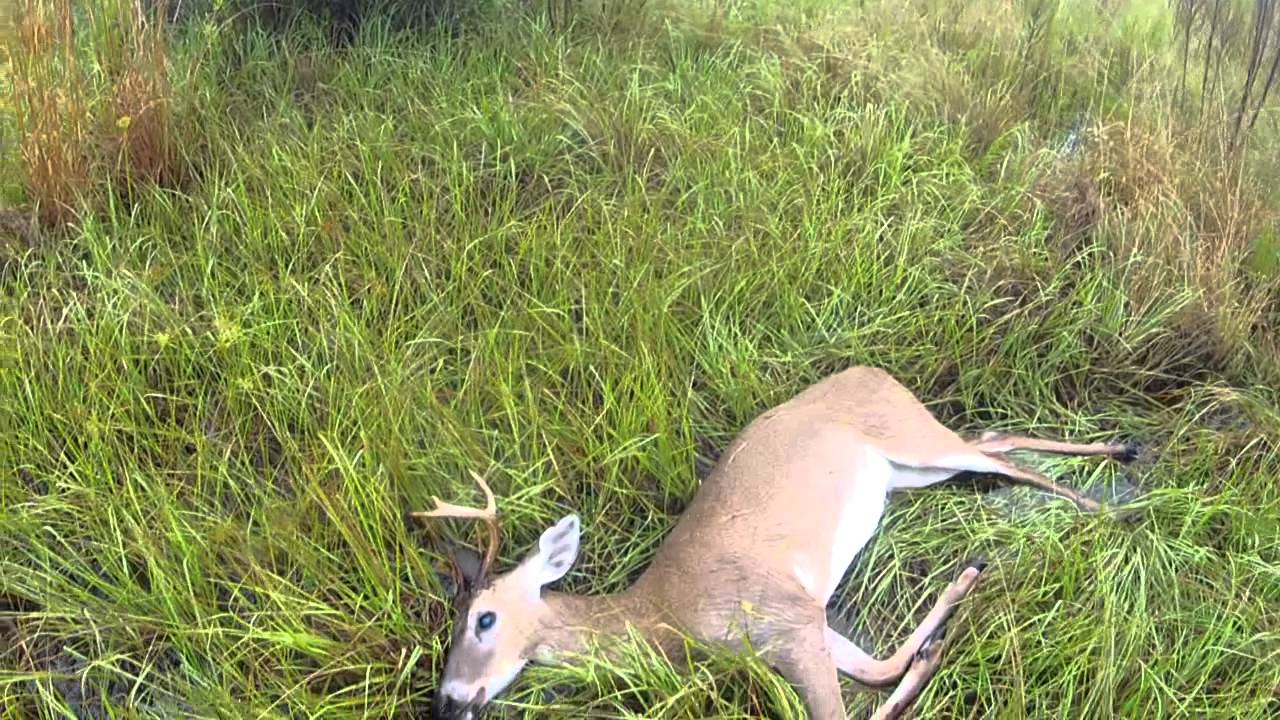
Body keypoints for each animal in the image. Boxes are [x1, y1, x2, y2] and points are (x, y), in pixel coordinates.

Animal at [415, 366, 1137, 720]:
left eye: (483, 618)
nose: (447, 704)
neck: (662, 618)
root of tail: (872, 368)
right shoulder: (802, 617)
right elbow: (878, 667)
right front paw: (949, 618)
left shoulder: (784, 617)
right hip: (911, 469)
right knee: (995, 441)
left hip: (912, 437)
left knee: (1003, 460)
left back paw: (1111, 493)